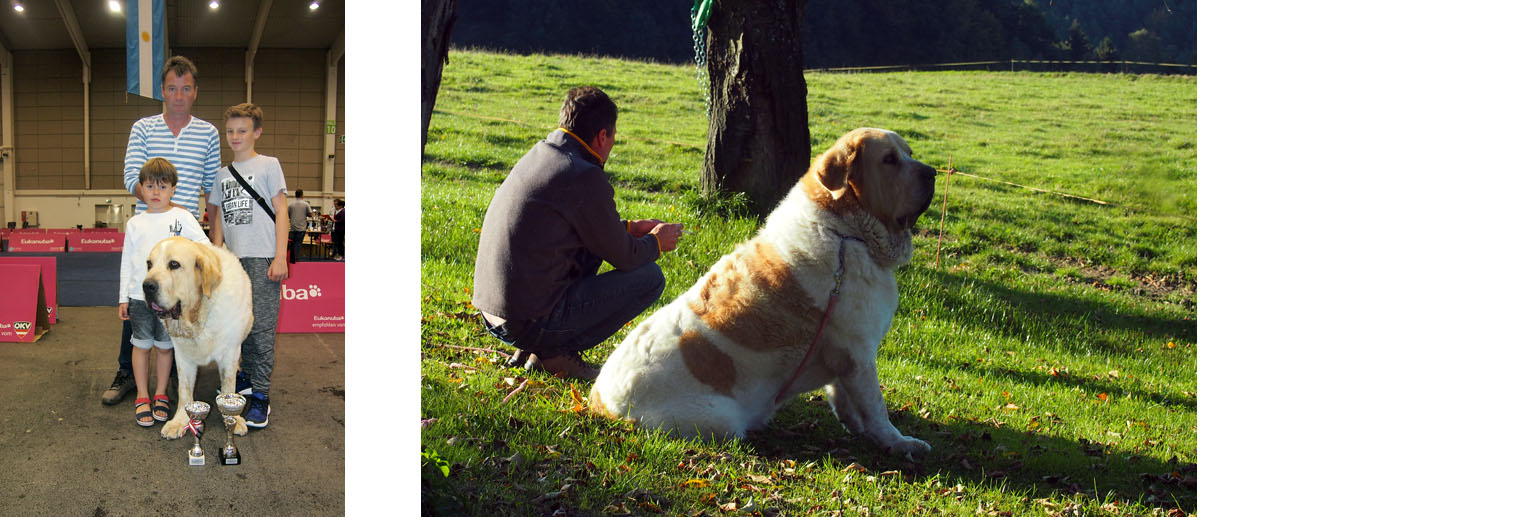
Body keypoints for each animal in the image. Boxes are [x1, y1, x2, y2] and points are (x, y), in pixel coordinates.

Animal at [144, 236, 254, 435]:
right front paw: (179, 420)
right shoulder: (183, 356)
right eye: (149, 264)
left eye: (174, 264)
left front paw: (233, 418)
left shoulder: (230, 353)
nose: (147, 286)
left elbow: (228, 384)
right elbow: (185, 389)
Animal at [589, 126, 933, 457]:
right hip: (721, 419)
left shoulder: (845, 359)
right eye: (889, 160)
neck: (846, 234)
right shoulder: (858, 352)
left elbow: (848, 401)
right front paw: (900, 443)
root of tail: (600, 402)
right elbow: (876, 407)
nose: (931, 172)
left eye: (908, 153)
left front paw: (864, 431)